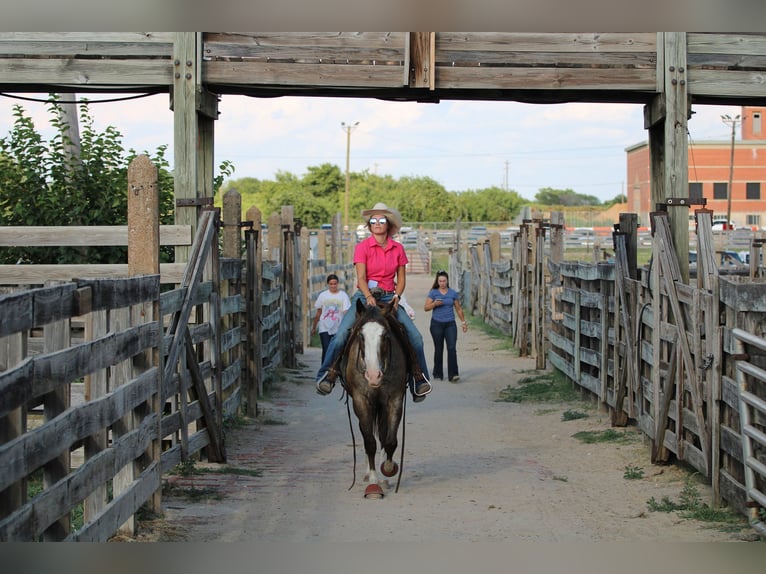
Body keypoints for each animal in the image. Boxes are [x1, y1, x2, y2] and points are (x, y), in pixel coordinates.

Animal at [340, 296, 412, 500]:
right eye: (361, 336)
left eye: (385, 336)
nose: (373, 376)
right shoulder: (361, 400)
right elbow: (369, 442)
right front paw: (373, 484)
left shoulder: (394, 399)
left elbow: (389, 440)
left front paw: (388, 469)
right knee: (368, 434)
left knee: (382, 432)